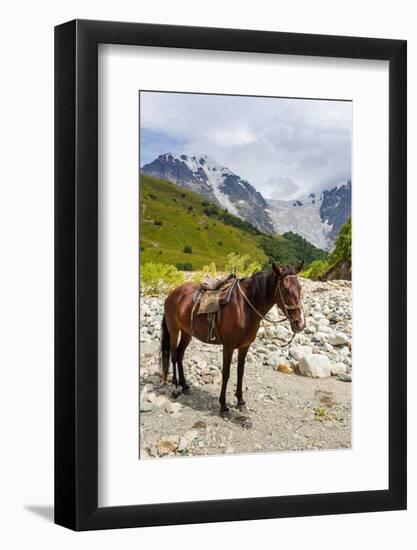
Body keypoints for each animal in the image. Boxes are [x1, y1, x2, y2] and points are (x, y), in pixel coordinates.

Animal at [161, 264, 304, 414]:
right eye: (286, 289)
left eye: (300, 288)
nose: (300, 323)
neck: (245, 307)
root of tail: (173, 294)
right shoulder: (228, 346)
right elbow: (226, 373)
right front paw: (223, 404)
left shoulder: (244, 346)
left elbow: (240, 372)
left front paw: (240, 401)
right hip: (174, 331)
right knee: (173, 355)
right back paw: (175, 387)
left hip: (187, 333)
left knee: (180, 355)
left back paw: (184, 385)